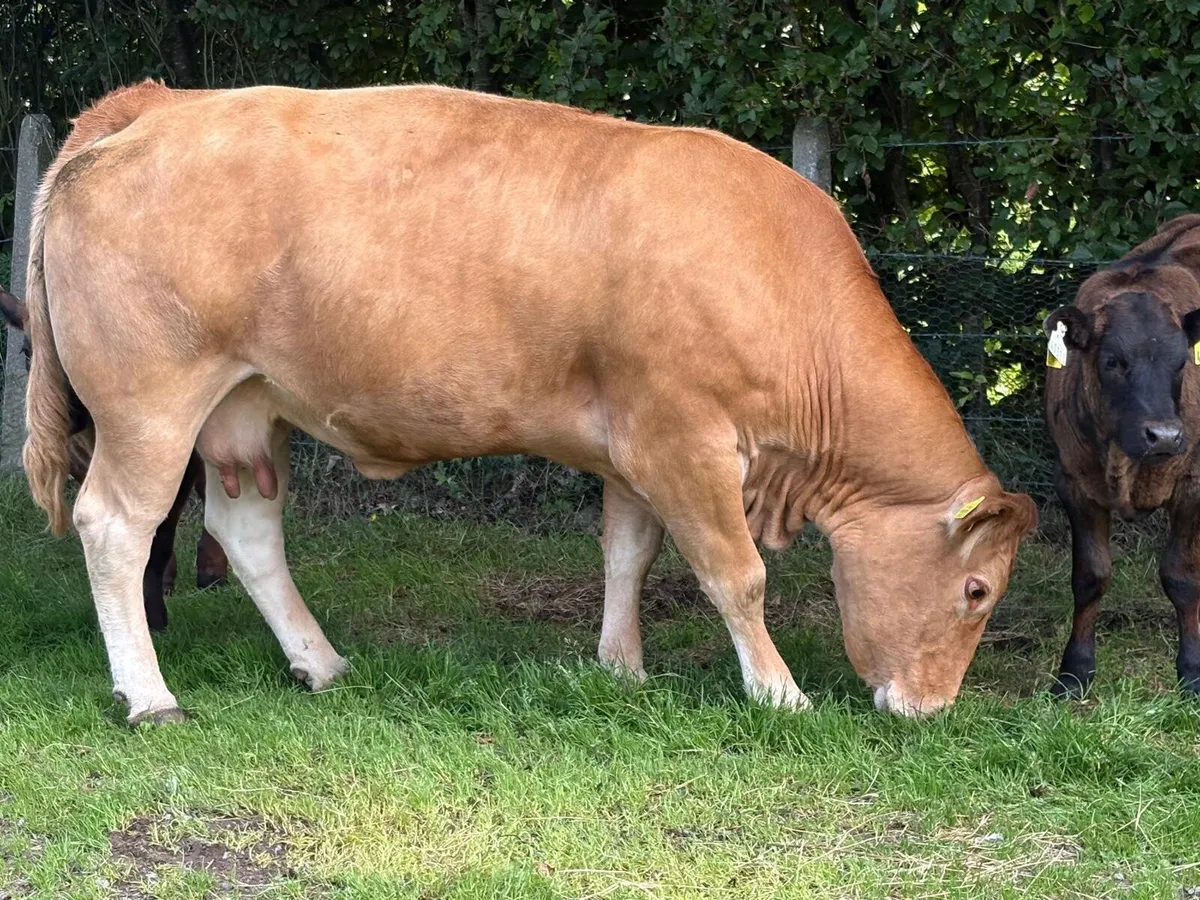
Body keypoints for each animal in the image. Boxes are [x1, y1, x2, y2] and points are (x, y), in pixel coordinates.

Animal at [1044, 214, 1200, 697]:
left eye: (1182, 363)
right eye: (1113, 361)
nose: (1164, 435)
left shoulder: (1195, 483)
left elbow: (1182, 576)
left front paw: (1192, 672)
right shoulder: (1073, 481)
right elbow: (1090, 576)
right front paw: (1074, 672)